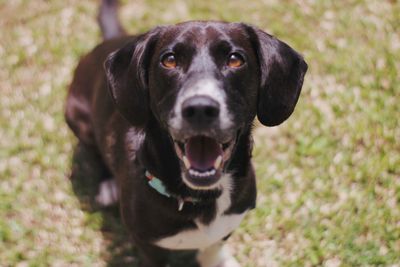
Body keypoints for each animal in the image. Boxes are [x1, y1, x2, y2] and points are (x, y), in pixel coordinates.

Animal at [66, 0, 306, 266]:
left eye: (235, 59)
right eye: (169, 60)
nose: (200, 108)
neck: (203, 196)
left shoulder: (227, 226)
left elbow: (213, 249)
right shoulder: (148, 245)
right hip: (76, 118)